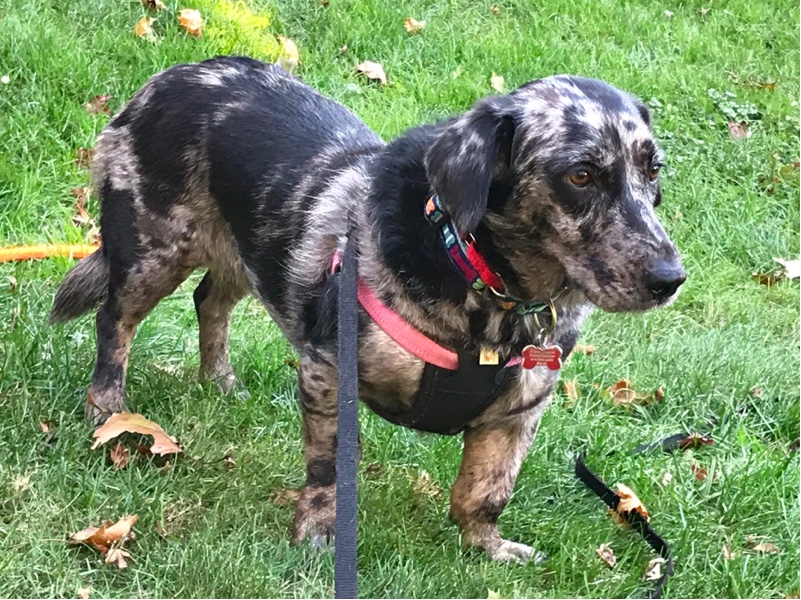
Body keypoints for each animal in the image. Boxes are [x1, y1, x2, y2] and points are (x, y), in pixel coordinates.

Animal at [53, 55, 684, 564]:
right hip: (153, 253)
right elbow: (332, 467)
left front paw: (487, 548)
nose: (670, 280)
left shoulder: (518, 413)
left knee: (209, 301)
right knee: (115, 321)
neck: (484, 286)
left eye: (653, 169)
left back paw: (220, 380)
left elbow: (485, 492)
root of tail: (168, 77)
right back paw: (107, 406)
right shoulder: (330, 373)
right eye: (580, 175)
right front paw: (317, 532)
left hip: (246, 251)